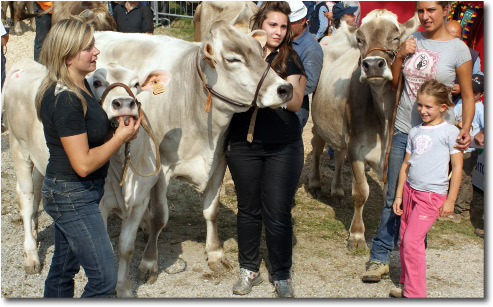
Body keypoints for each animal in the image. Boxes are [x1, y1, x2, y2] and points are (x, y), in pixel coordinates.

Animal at [93, 18, 292, 298]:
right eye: (233, 59)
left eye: (261, 54)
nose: (285, 88)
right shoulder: (161, 168)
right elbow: (160, 216)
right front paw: (149, 263)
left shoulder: (219, 162)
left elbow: (211, 210)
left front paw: (215, 253)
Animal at [310, 10, 418, 250]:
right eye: (360, 39)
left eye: (396, 37)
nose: (374, 65)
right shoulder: (357, 149)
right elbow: (361, 193)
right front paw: (357, 235)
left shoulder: (393, 156)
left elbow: (391, 196)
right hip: (320, 122)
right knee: (317, 146)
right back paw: (316, 183)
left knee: (338, 154)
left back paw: (337, 191)